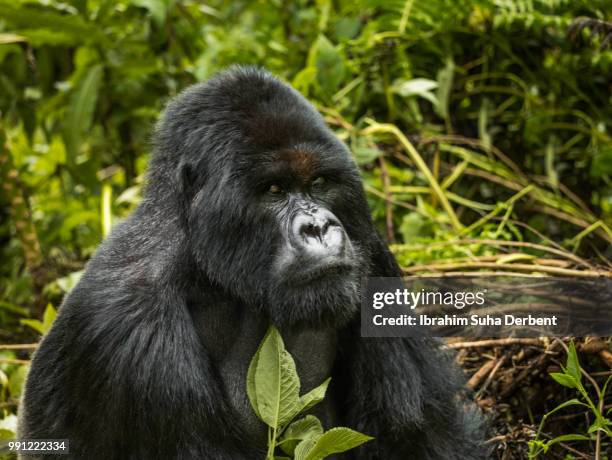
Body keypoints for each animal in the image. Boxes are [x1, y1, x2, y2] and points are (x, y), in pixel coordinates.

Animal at [20, 66, 482, 458]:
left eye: (319, 183)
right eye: (274, 190)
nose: (319, 228)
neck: (210, 271)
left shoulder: (372, 255)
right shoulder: (130, 328)